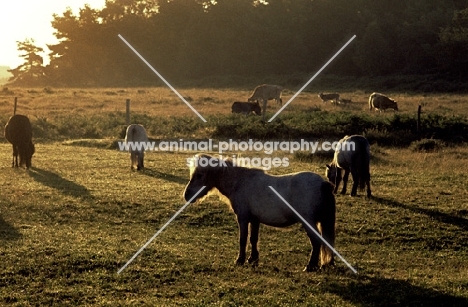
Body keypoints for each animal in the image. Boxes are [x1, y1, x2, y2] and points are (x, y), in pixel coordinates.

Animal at [184, 154, 336, 272]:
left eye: (199, 175)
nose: (187, 195)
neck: (240, 182)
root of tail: (323, 183)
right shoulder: (254, 220)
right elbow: (253, 239)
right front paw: (253, 259)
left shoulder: (243, 218)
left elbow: (243, 239)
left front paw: (240, 260)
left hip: (308, 222)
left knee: (316, 241)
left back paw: (310, 266)